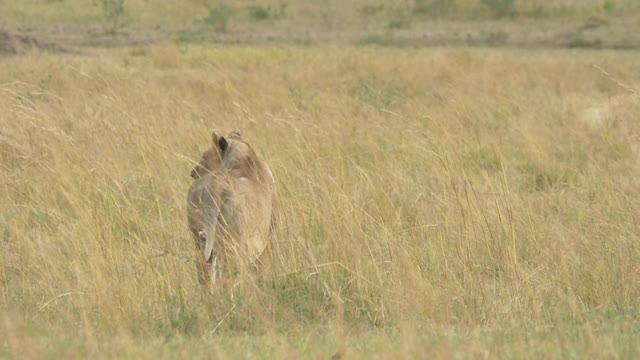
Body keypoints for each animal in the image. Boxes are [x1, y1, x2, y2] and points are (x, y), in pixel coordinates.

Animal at [185, 131, 276, 286]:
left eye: (204, 156)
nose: (192, 173)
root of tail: (215, 188)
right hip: (233, 243)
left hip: (198, 242)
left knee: (205, 275)